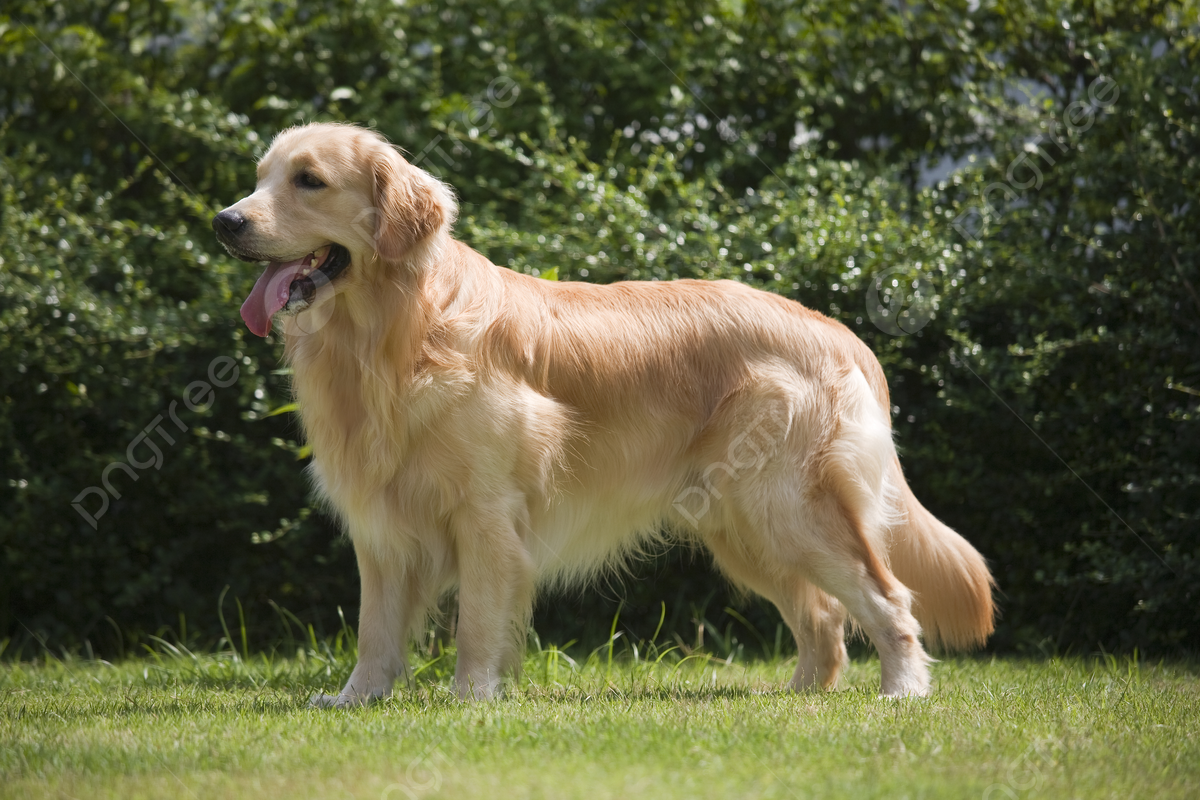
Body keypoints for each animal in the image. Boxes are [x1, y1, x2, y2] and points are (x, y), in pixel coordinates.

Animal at [213, 122, 993, 705]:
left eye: (309, 180)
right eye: (260, 175)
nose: (225, 221)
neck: (396, 335)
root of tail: (839, 333)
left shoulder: (487, 514)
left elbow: (476, 623)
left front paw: (470, 698)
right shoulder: (379, 526)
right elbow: (375, 630)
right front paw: (357, 698)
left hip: (787, 508)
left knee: (888, 598)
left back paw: (901, 690)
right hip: (743, 527)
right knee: (825, 616)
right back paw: (798, 694)